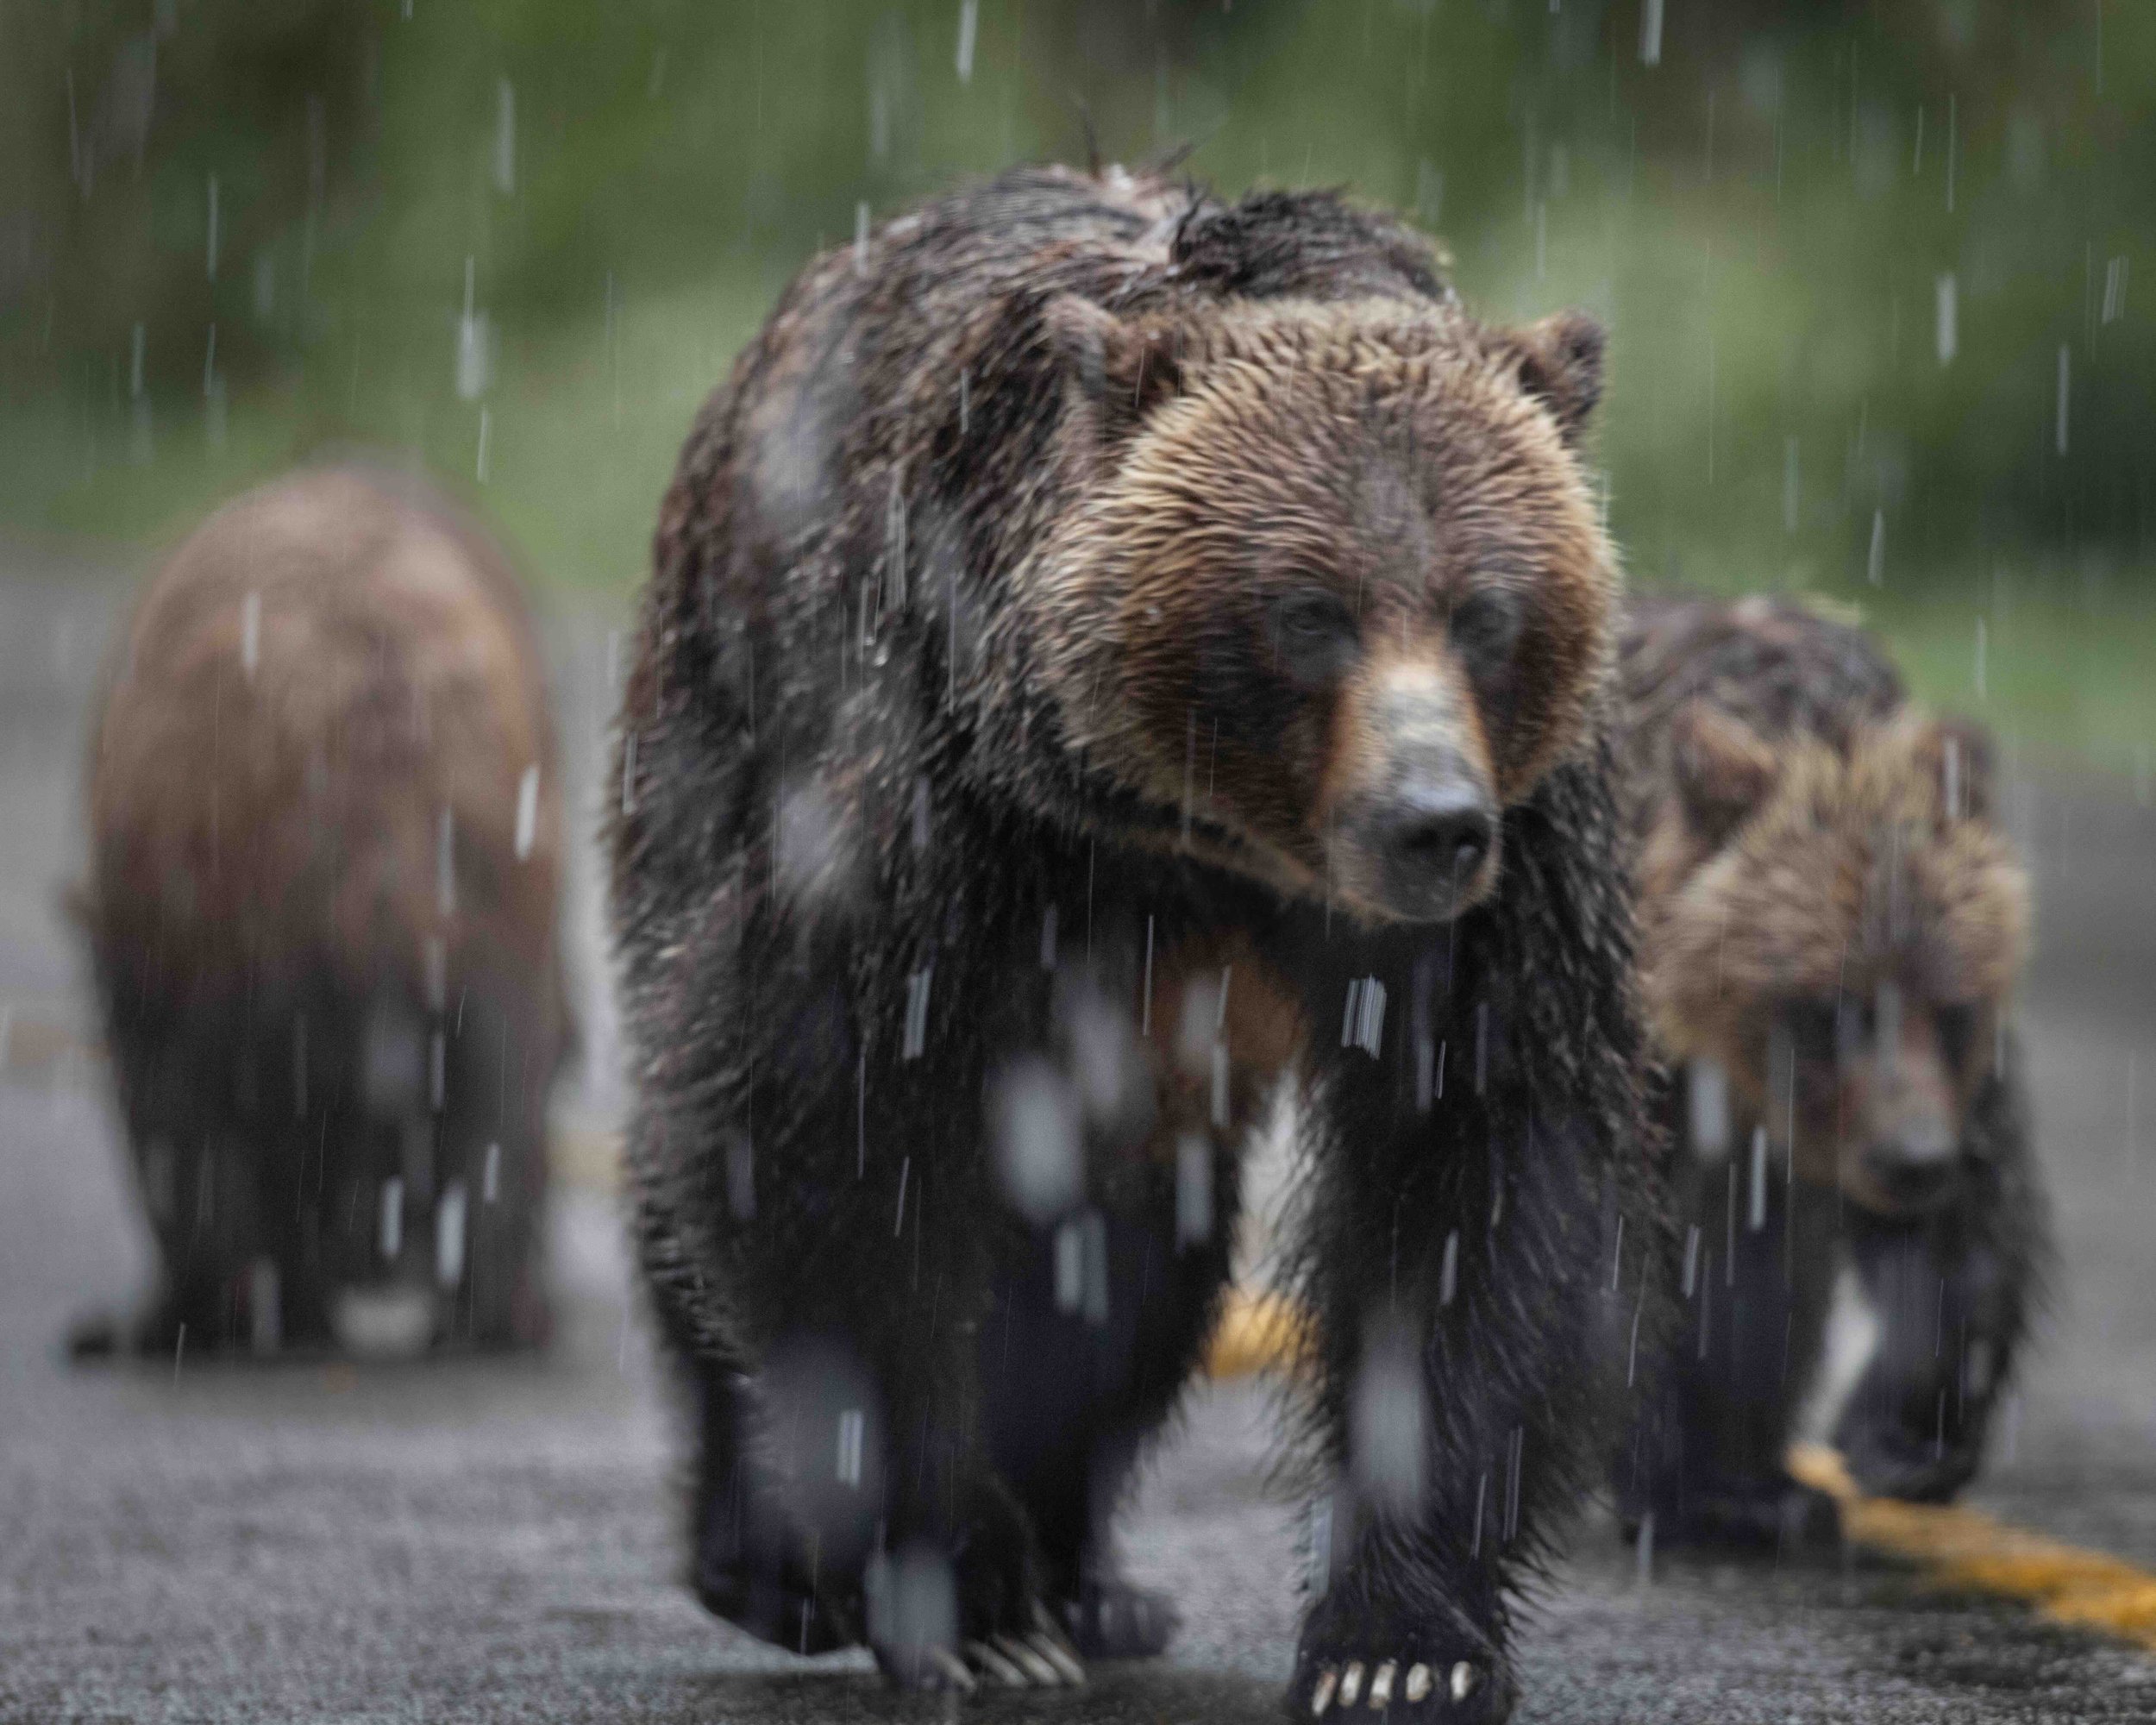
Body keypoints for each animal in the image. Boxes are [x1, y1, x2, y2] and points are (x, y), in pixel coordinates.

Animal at [608, 164, 1662, 1720]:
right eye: (1308, 613)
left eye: (1488, 613)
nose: (1431, 824)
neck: (1202, 843)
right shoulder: (944, 805)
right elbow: (818, 1130)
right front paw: (966, 1602)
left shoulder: (1514, 881)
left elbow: (1477, 1177)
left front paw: (1399, 1642)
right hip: (697, 752)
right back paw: (777, 1567)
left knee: (1129, 1269)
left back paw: (1092, 1582)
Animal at [1612, 591, 2047, 1547]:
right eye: (1827, 1010)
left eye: (1950, 1007)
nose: (1911, 1160)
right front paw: (1694, 1483)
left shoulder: (1963, 1083)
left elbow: (1967, 1229)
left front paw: (1902, 1439)